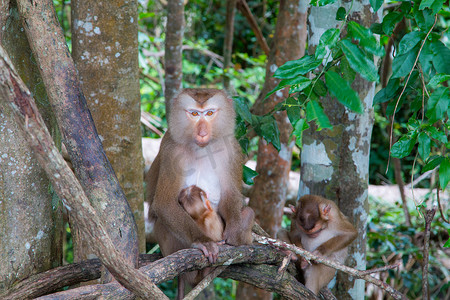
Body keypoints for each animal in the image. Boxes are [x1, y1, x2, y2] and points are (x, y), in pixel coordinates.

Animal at [147, 88, 255, 264]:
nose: (202, 133)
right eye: (194, 114)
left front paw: (234, 231)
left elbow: (230, 193)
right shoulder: (171, 150)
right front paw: (203, 241)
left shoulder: (232, 148)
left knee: (249, 211)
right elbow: (165, 203)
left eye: (210, 113)